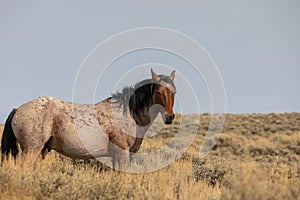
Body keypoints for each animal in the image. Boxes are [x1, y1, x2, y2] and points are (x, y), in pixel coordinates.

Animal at [0, 69, 176, 170]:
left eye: (174, 91)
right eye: (159, 91)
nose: (170, 117)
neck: (129, 114)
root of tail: (18, 109)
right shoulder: (121, 154)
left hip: (41, 151)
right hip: (31, 150)